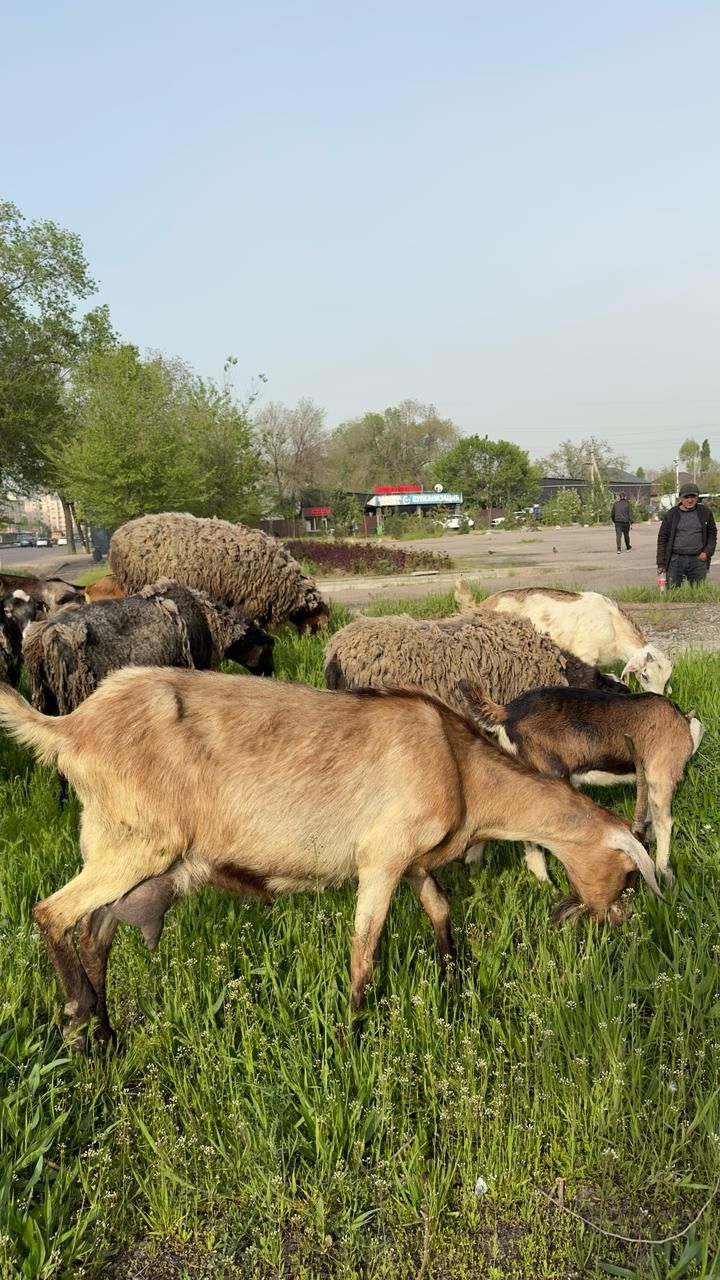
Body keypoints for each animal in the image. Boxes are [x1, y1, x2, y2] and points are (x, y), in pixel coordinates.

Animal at [0, 665, 661, 1044]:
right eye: (631, 873)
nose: (623, 921)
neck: (460, 767)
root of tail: (72, 728)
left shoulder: (412, 862)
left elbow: (441, 908)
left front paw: (454, 979)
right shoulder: (381, 858)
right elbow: (365, 947)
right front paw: (354, 1034)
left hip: (117, 846)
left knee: (96, 936)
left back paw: (107, 1037)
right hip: (143, 843)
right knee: (51, 913)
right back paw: (78, 1014)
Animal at [466, 686, 702, 885]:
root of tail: (507, 711)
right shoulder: (660, 772)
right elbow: (664, 822)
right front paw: (665, 873)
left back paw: (474, 862)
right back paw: (545, 883)